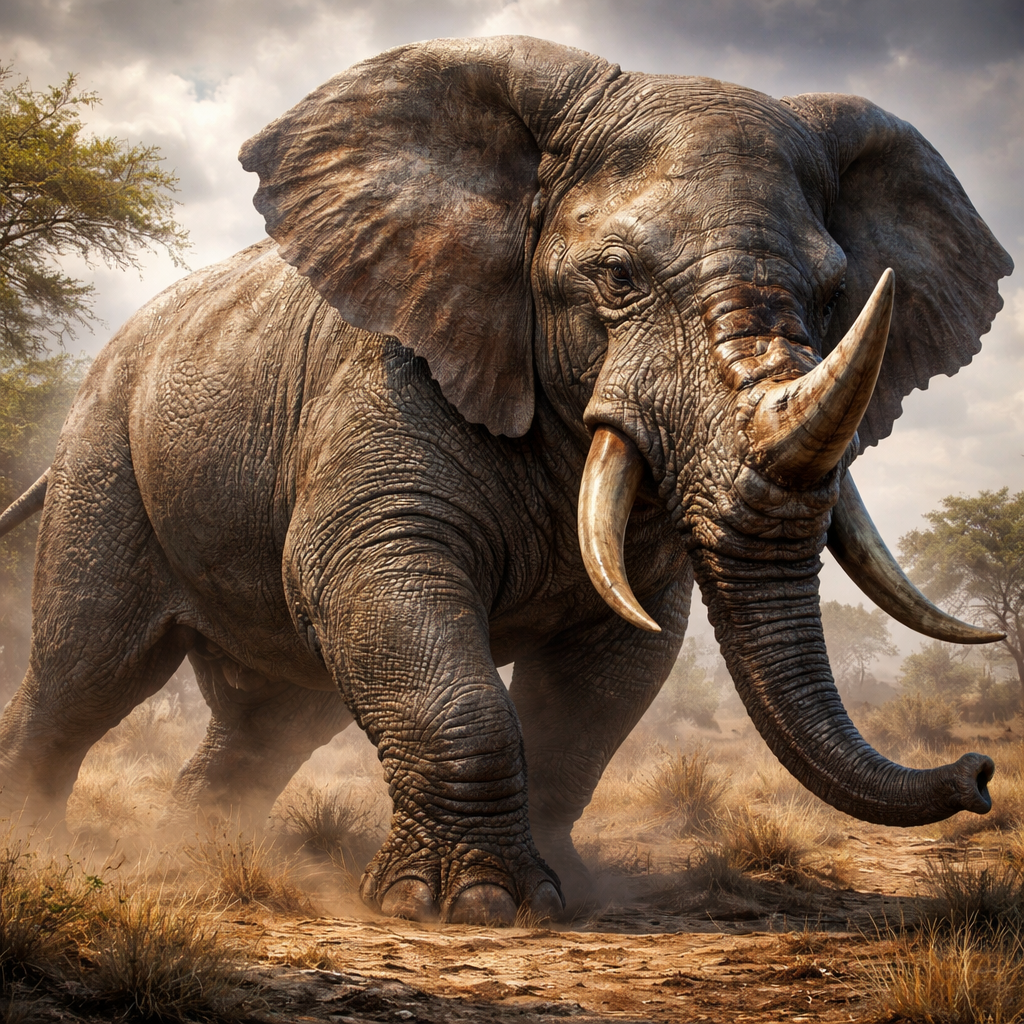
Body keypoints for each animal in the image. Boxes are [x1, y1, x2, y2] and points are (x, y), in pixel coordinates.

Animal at [0, 35, 1013, 926]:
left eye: (838, 294)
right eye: (616, 277)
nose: (979, 773)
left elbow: (607, 675)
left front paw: (565, 889)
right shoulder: (388, 371)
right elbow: (378, 581)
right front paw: (469, 907)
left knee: (267, 722)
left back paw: (205, 850)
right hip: (104, 460)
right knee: (80, 676)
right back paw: (41, 847)